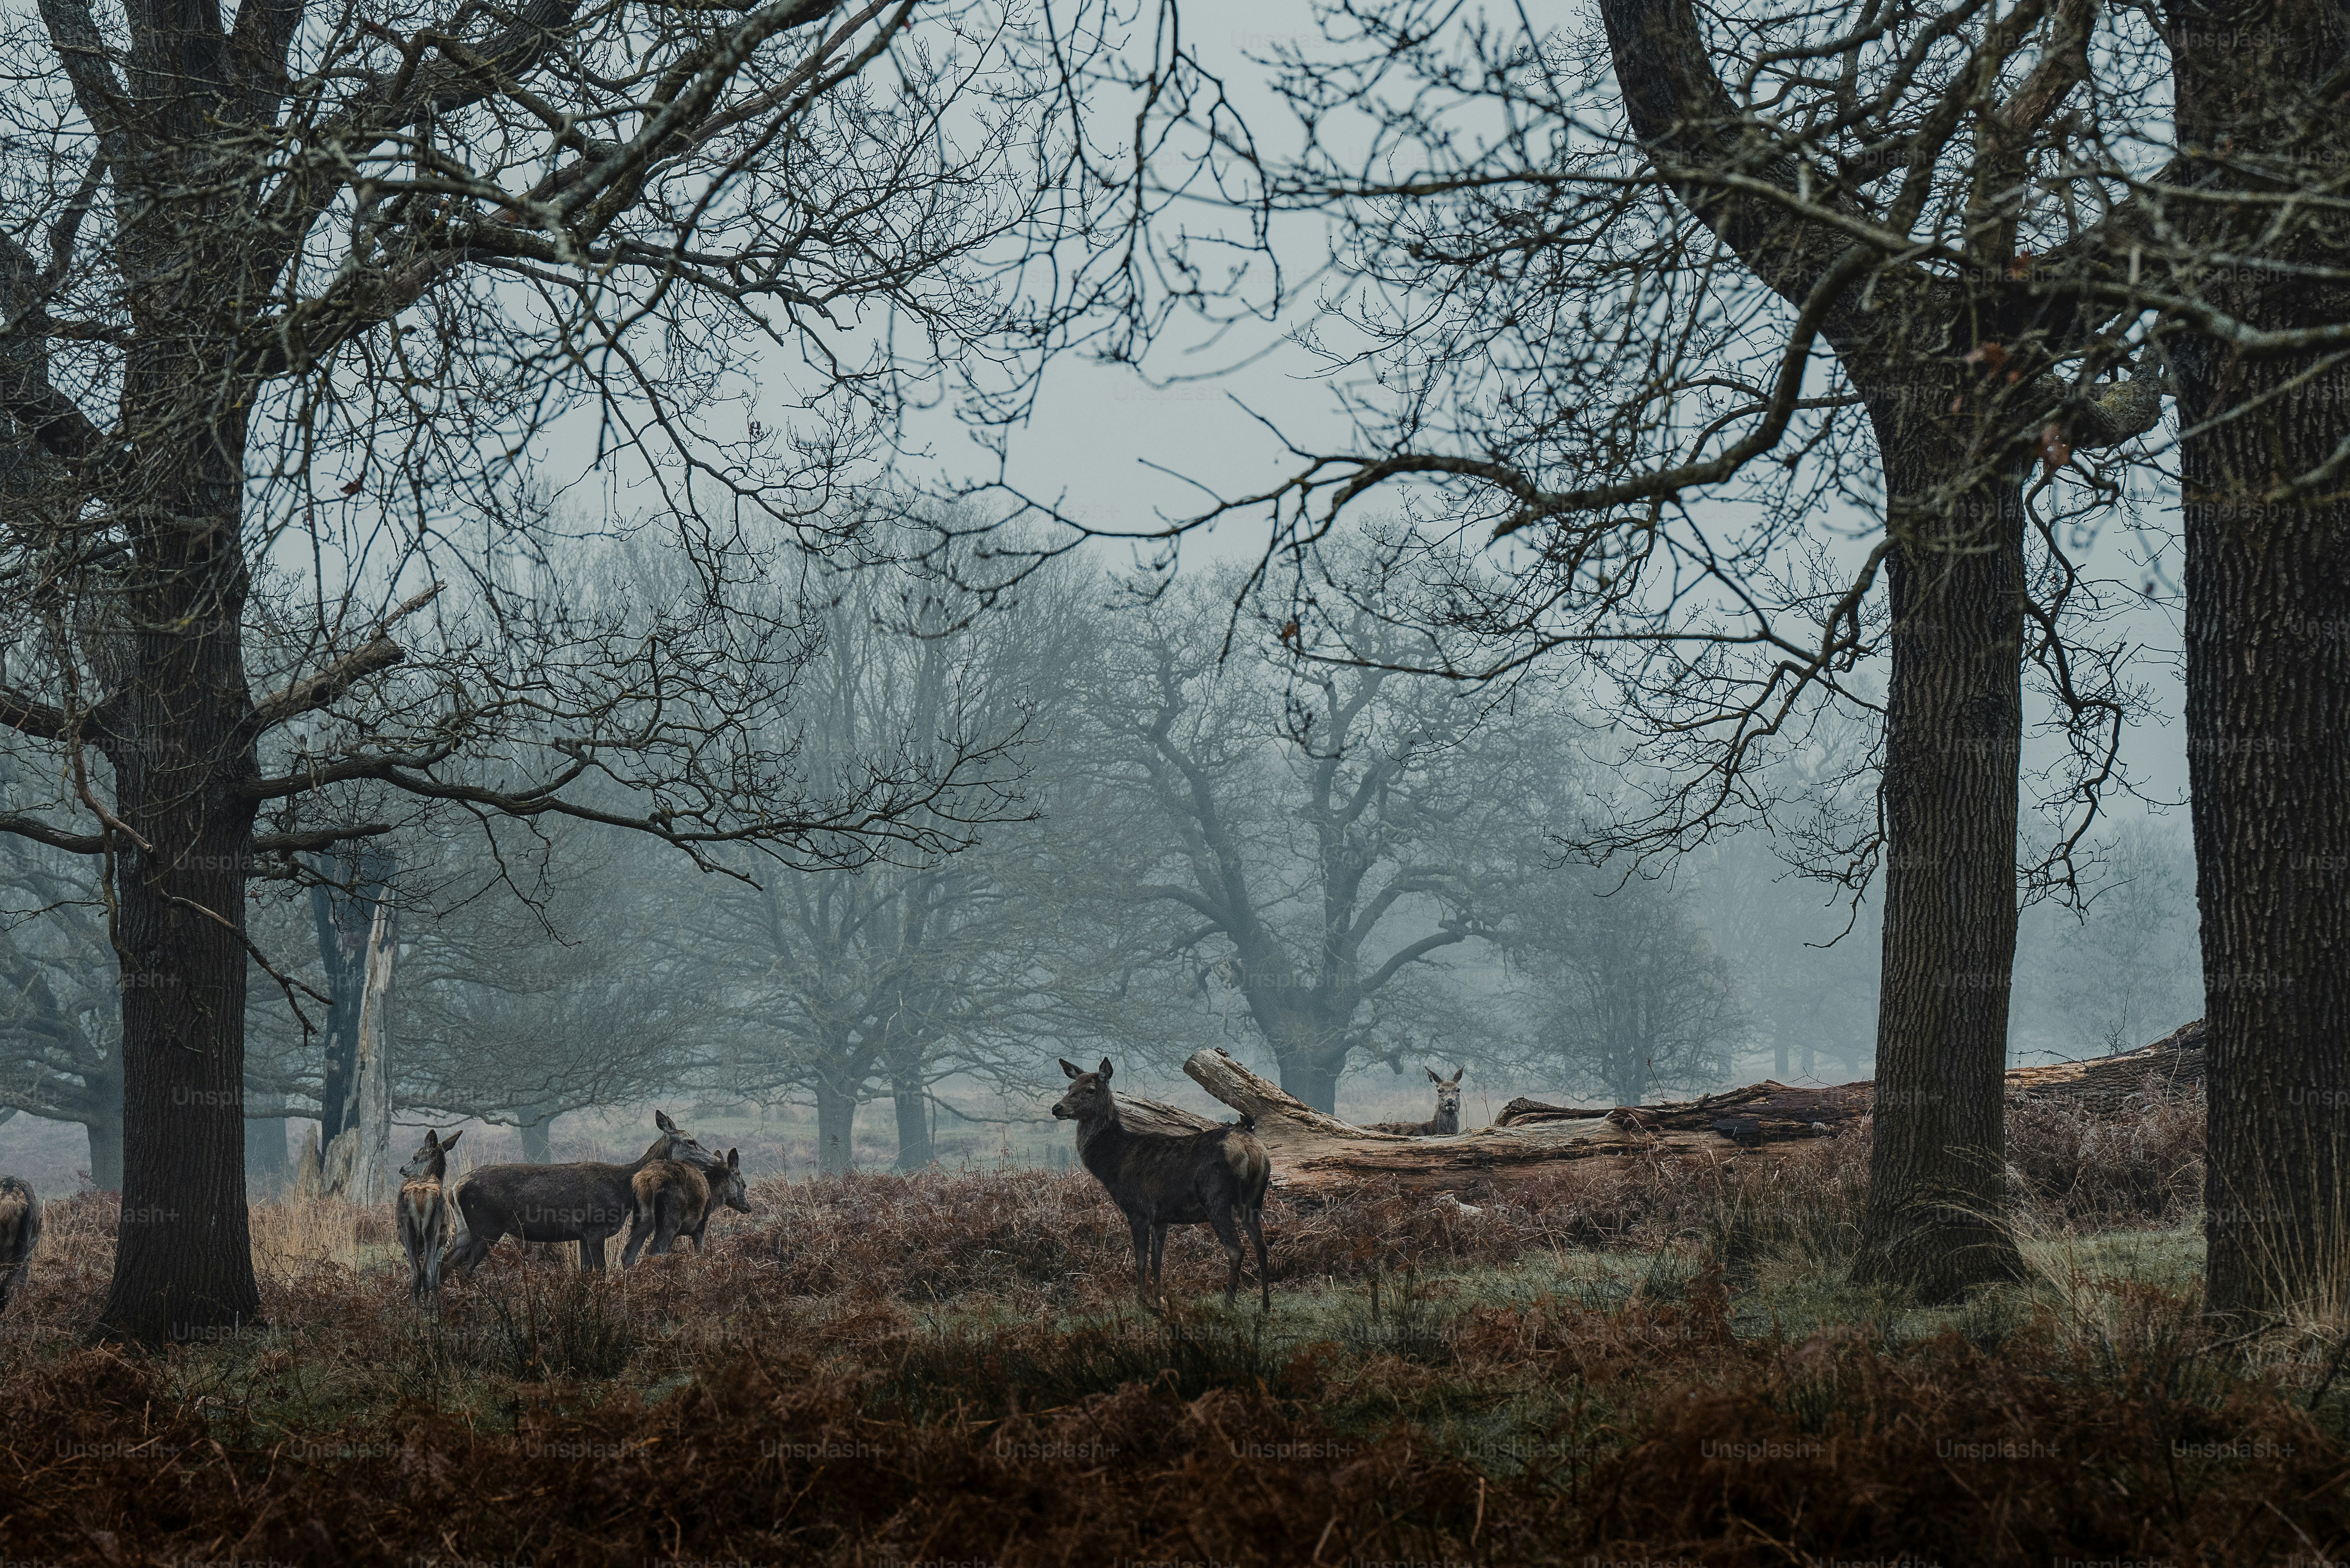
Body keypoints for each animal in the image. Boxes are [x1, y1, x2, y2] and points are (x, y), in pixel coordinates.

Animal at [395, 1129, 461, 1302]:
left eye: (414, 1157)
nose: (402, 1169)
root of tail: (419, 1195)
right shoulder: (443, 1238)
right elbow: (436, 1274)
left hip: (411, 1231)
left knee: (418, 1273)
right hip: (432, 1229)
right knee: (426, 1272)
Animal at [441, 1110, 718, 1276]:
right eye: (691, 1141)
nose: (716, 1161)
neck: (623, 1188)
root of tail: (455, 1187)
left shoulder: (582, 1235)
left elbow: (587, 1273)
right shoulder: (595, 1227)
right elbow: (601, 1271)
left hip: (465, 1230)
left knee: (444, 1264)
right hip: (487, 1227)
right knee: (464, 1270)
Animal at [620, 1147, 750, 1266]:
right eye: (744, 1185)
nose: (748, 1207)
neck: (714, 1197)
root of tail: (648, 1180)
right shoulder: (700, 1223)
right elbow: (699, 1252)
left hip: (642, 1217)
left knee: (628, 1253)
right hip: (671, 1217)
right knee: (655, 1249)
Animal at [1052, 1056, 1272, 1312]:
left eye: (1090, 1089)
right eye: (1070, 1087)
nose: (1057, 1108)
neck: (1114, 1163)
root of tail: (1252, 1150)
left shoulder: (1139, 1210)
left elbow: (1140, 1260)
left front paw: (1143, 1303)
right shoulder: (1161, 1217)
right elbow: (1158, 1261)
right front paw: (1160, 1302)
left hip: (1217, 1198)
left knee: (1236, 1249)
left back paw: (1228, 1304)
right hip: (1254, 1201)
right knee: (1262, 1246)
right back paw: (1266, 1306)